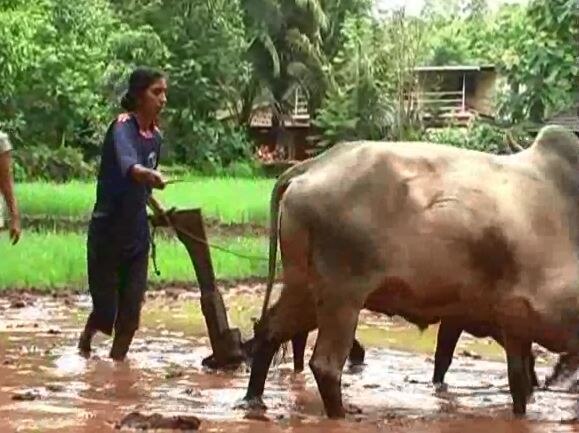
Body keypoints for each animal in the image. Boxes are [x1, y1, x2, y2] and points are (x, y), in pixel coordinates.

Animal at [242, 125, 579, 418]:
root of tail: (312, 165)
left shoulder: (511, 322)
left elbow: (518, 382)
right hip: (342, 295)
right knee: (325, 364)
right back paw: (339, 415)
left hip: (305, 288)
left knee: (269, 330)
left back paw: (253, 400)